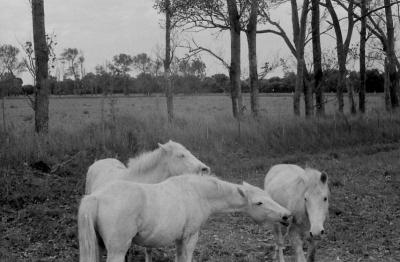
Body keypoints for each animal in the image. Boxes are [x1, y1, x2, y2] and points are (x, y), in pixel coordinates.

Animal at [78, 174, 292, 262]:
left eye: (269, 196)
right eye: (259, 203)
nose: (286, 215)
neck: (197, 192)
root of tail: (96, 197)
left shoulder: (180, 240)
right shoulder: (190, 238)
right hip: (117, 251)